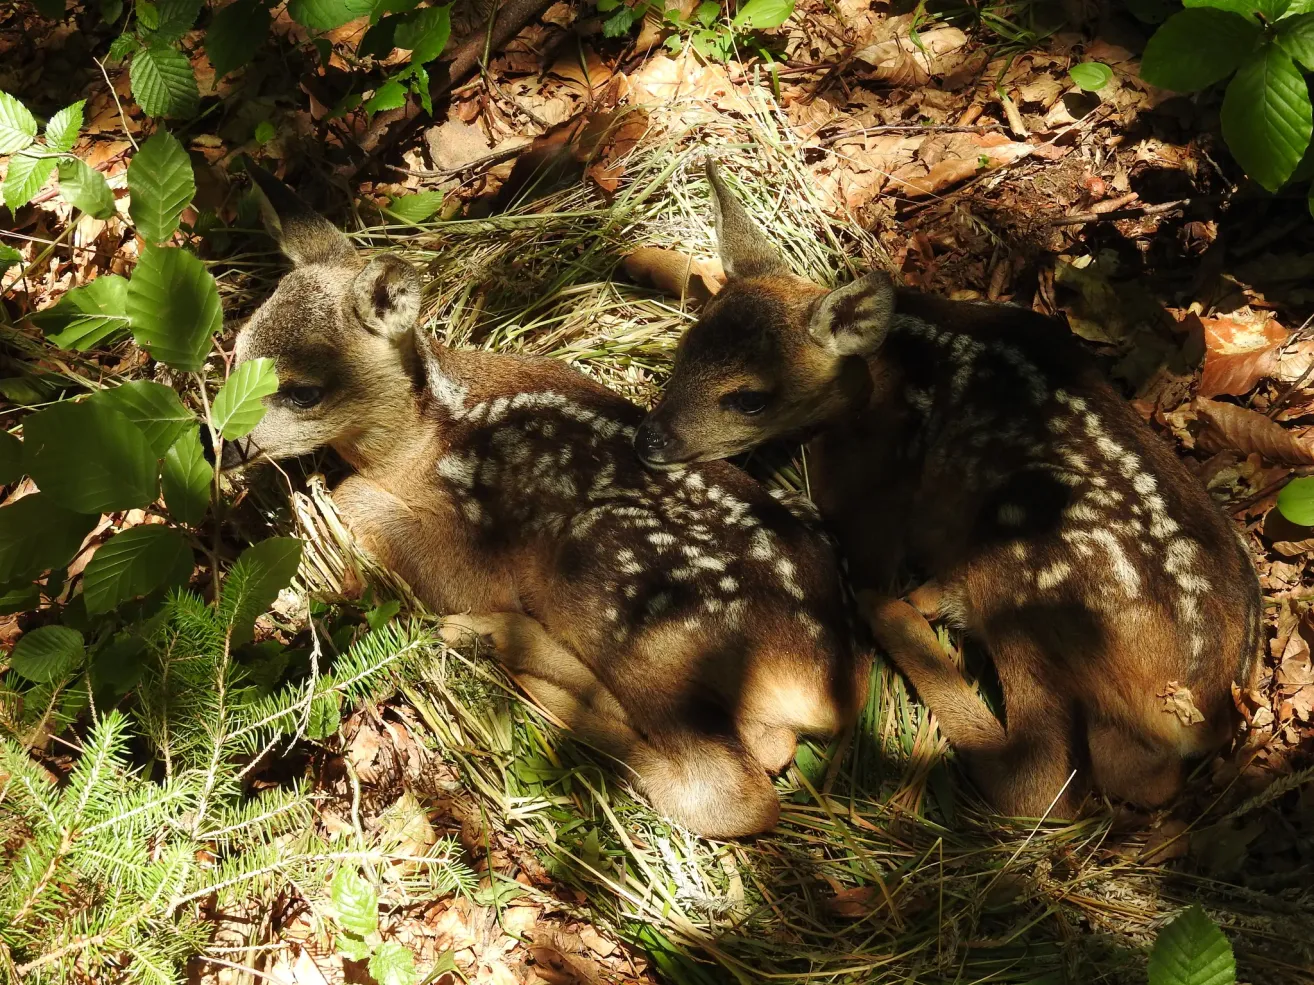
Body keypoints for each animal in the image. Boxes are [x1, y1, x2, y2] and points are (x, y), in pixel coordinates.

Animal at [224, 165, 869, 838]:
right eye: (235, 352)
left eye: (304, 391)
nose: (224, 440)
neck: (419, 442)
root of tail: (826, 686)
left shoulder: (477, 557)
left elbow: (359, 503)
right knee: (768, 750)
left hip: (624, 589)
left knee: (733, 792)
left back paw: (509, 654)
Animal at [634, 160, 1262, 819]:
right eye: (683, 352)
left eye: (751, 399)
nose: (649, 439)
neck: (882, 373)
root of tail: (1191, 709)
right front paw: (642, 258)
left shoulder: (873, 502)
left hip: (1027, 576)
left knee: (1038, 779)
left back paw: (894, 613)